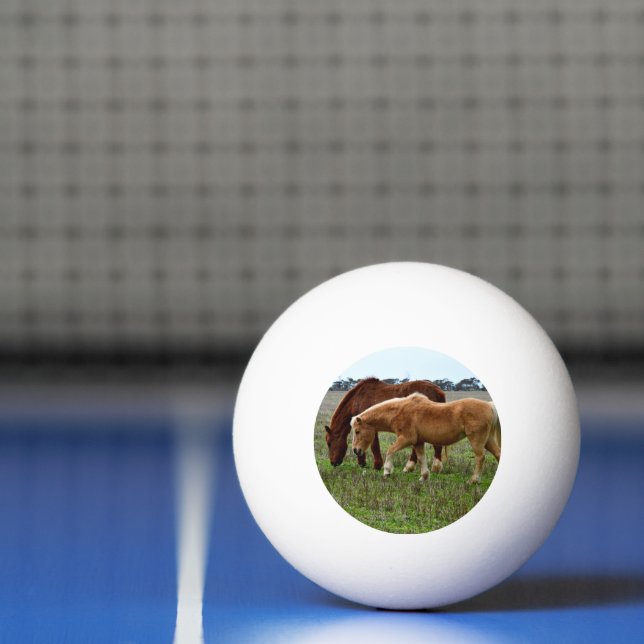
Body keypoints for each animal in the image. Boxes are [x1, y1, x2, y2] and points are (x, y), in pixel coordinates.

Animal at [351, 392, 501, 484]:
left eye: (357, 431)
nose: (356, 450)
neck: (399, 411)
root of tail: (490, 406)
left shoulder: (407, 438)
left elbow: (390, 450)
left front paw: (387, 472)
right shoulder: (418, 442)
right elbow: (421, 458)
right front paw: (424, 477)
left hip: (477, 440)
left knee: (480, 457)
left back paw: (473, 480)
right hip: (488, 440)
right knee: (498, 454)